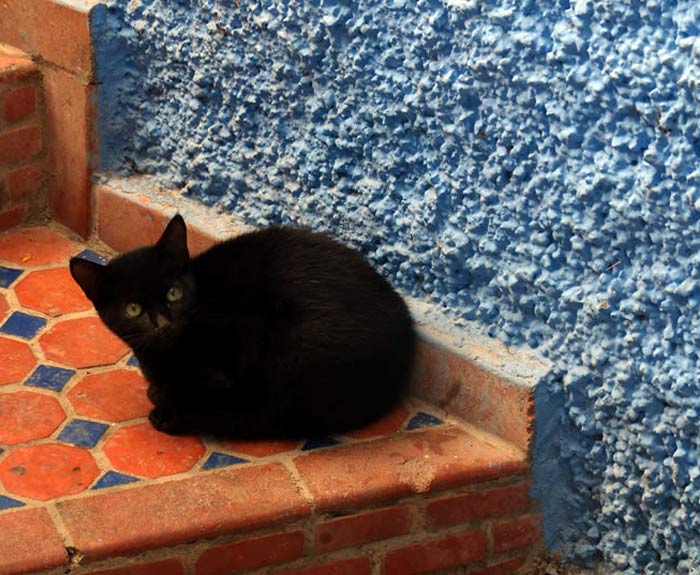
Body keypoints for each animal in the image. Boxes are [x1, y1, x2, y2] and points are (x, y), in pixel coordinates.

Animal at [72, 215, 416, 436]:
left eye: (173, 292)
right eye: (133, 309)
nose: (163, 324)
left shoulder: (246, 333)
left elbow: (212, 386)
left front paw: (174, 402)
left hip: (296, 340)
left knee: (286, 417)